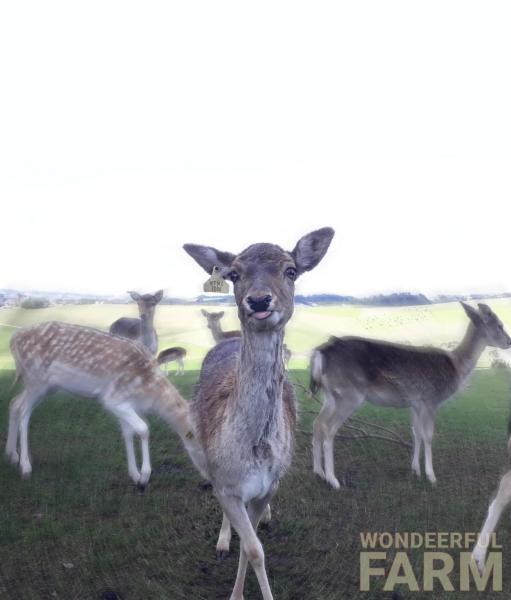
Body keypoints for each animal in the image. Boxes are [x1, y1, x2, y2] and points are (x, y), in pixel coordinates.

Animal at [5, 324, 206, 488]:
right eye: (205, 452)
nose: (208, 481)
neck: (150, 394)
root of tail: (12, 340)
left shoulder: (124, 404)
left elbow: (128, 433)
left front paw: (134, 475)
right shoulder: (112, 399)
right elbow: (143, 429)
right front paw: (144, 476)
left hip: (45, 387)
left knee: (15, 403)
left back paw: (11, 455)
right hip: (36, 378)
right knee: (24, 411)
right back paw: (25, 467)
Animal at [184, 226, 336, 600]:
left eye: (291, 270)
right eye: (234, 274)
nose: (259, 301)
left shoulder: (267, 486)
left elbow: (251, 546)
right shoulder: (227, 486)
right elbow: (252, 547)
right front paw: (235, 591)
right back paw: (222, 541)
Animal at [310, 302, 511, 490]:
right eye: (499, 325)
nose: (509, 342)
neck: (457, 366)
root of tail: (320, 353)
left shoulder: (415, 403)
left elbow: (416, 433)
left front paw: (415, 470)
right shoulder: (430, 400)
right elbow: (428, 436)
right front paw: (431, 476)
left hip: (330, 395)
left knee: (318, 423)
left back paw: (319, 472)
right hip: (350, 395)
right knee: (329, 428)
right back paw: (333, 480)